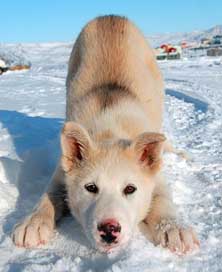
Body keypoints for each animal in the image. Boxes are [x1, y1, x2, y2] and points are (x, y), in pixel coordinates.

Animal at [12, 14, 199, 253]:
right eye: (91, 187)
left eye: (130, 189)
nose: (109, 229)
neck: (109, 129)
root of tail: (110, 16)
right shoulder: (61, 171)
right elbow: (48, 194)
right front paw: (33, 222)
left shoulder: (157, 179)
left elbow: (163, 200)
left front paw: (173, 227)